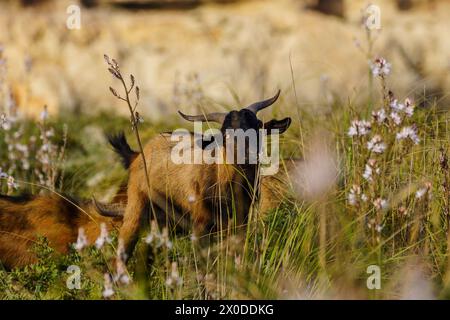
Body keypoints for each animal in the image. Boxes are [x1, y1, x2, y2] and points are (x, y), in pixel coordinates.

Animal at [106, 90, 292, 260]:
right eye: (225, 134)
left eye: (258, 126)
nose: (247, 153)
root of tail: (138, 154)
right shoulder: (200, 225)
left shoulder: (241, 218)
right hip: (135, 209)